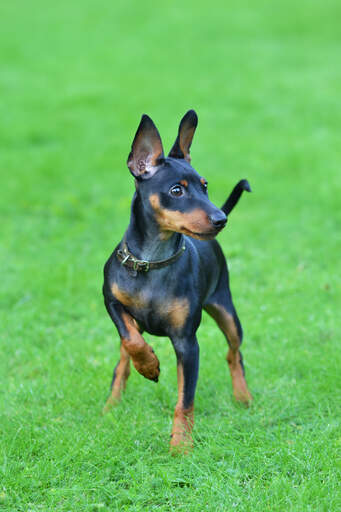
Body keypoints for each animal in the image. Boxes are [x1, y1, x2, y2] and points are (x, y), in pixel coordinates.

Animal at [101, 110, 250, 450]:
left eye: (205, 186)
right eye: (177, 191)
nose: (221, 219)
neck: (153, 262)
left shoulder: (187, 343)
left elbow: (185, 400)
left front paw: (180, 446)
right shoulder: (112, 301)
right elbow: (131, 341)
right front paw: (149, 365)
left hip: (226, 311)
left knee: (234, 353)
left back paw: (243, 397)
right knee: (122, 361)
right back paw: (112, 405)